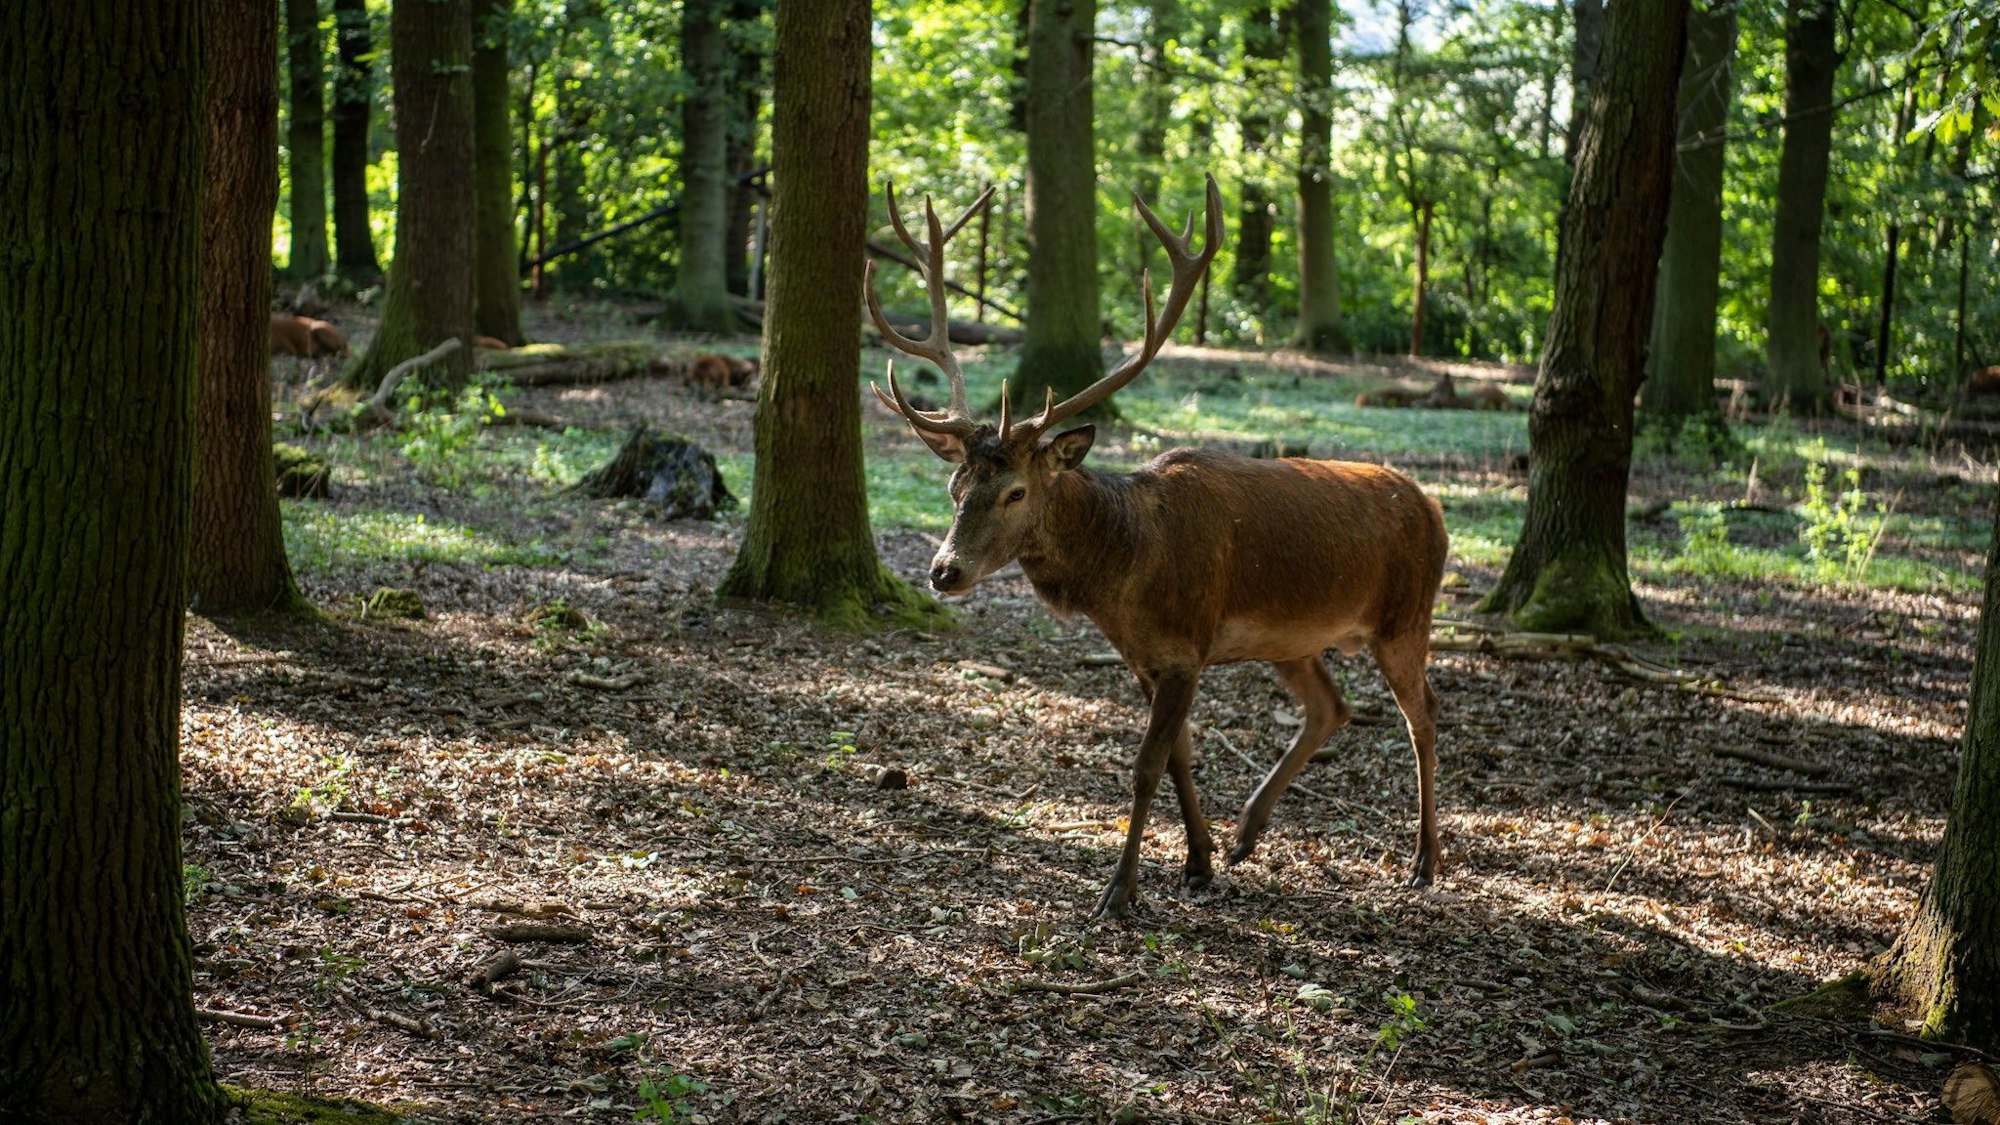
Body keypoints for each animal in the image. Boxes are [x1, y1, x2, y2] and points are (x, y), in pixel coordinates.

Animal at [866, 177, 1448, 920]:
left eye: (1016, 491)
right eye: (954, 484)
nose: (944, 570)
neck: (1126, 577)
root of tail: (1432, 507)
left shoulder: (1185, 649)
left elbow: (1146, 764)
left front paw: (1119, 891)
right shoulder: (1146, 656)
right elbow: (1179, 755)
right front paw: (1199, 862)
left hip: (1407, 617)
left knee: (1422, 715)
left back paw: (1424, 860)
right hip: (1294, 637)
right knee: (1331, 707)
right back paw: (1247, 833)